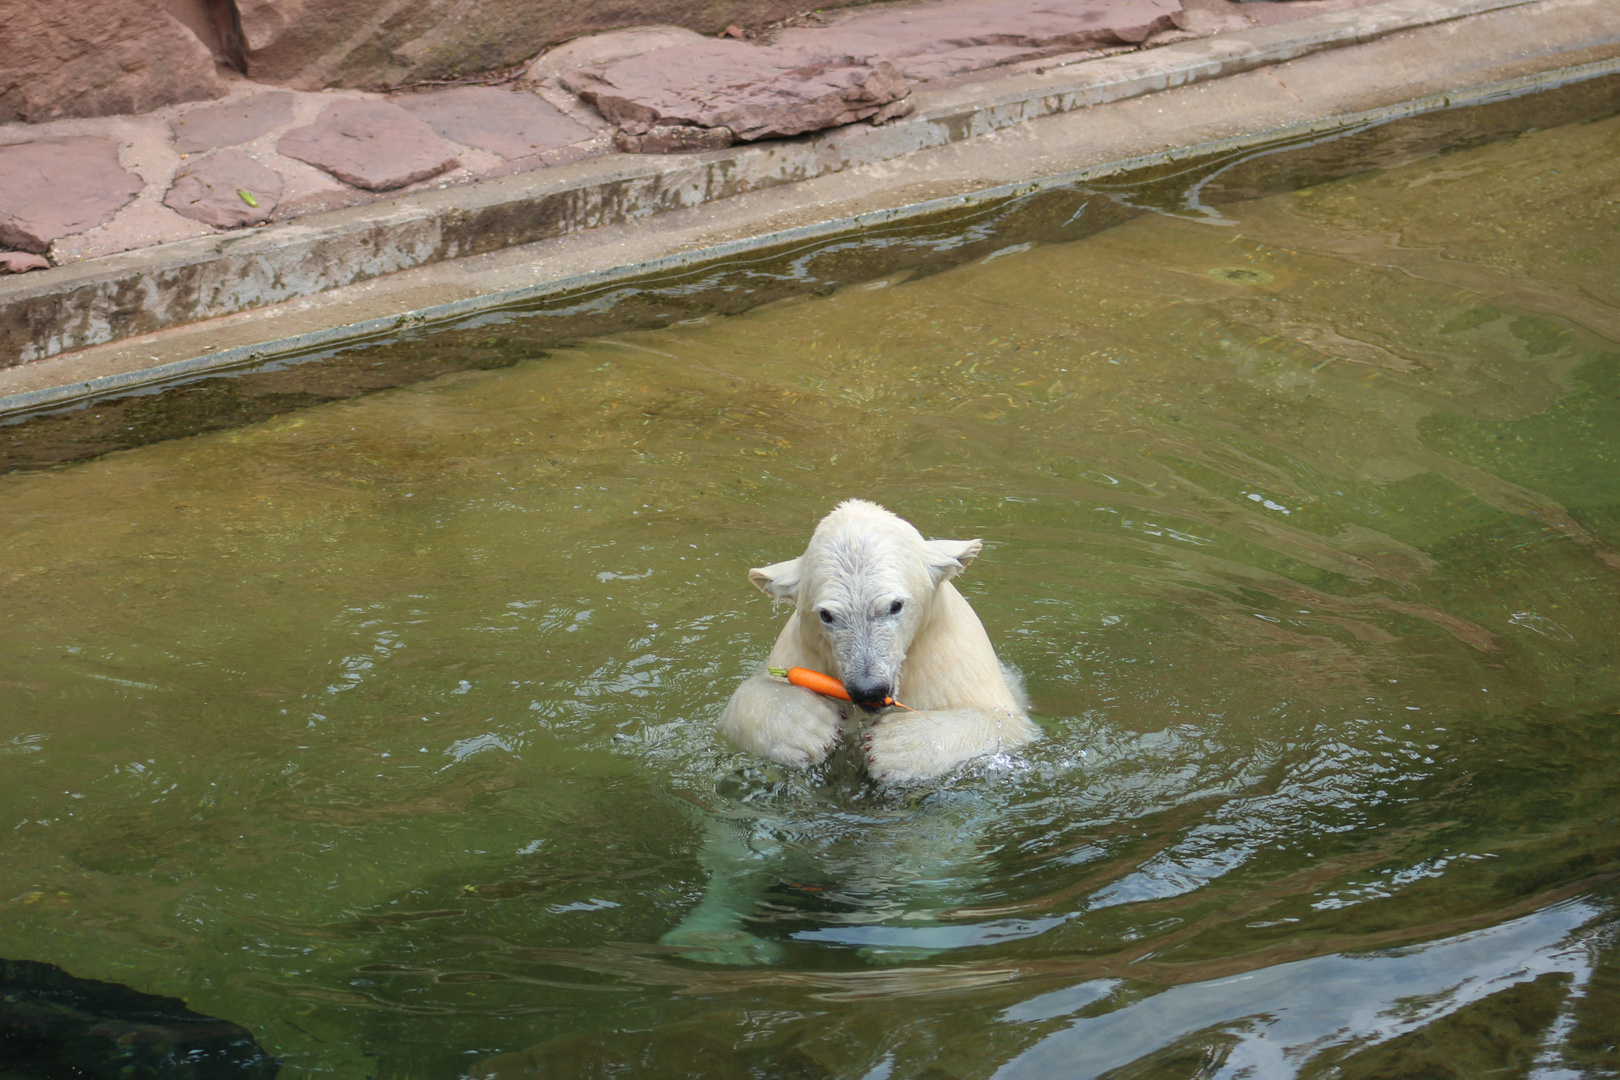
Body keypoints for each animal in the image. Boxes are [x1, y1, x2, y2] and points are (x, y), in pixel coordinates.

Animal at [719, 501, 1036, 780]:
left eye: (895, 605)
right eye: (826, 614)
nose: (868, 690)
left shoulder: (953, 663)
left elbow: (1005, 724)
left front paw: (899, 745)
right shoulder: (800, 654)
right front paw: (806, 724)